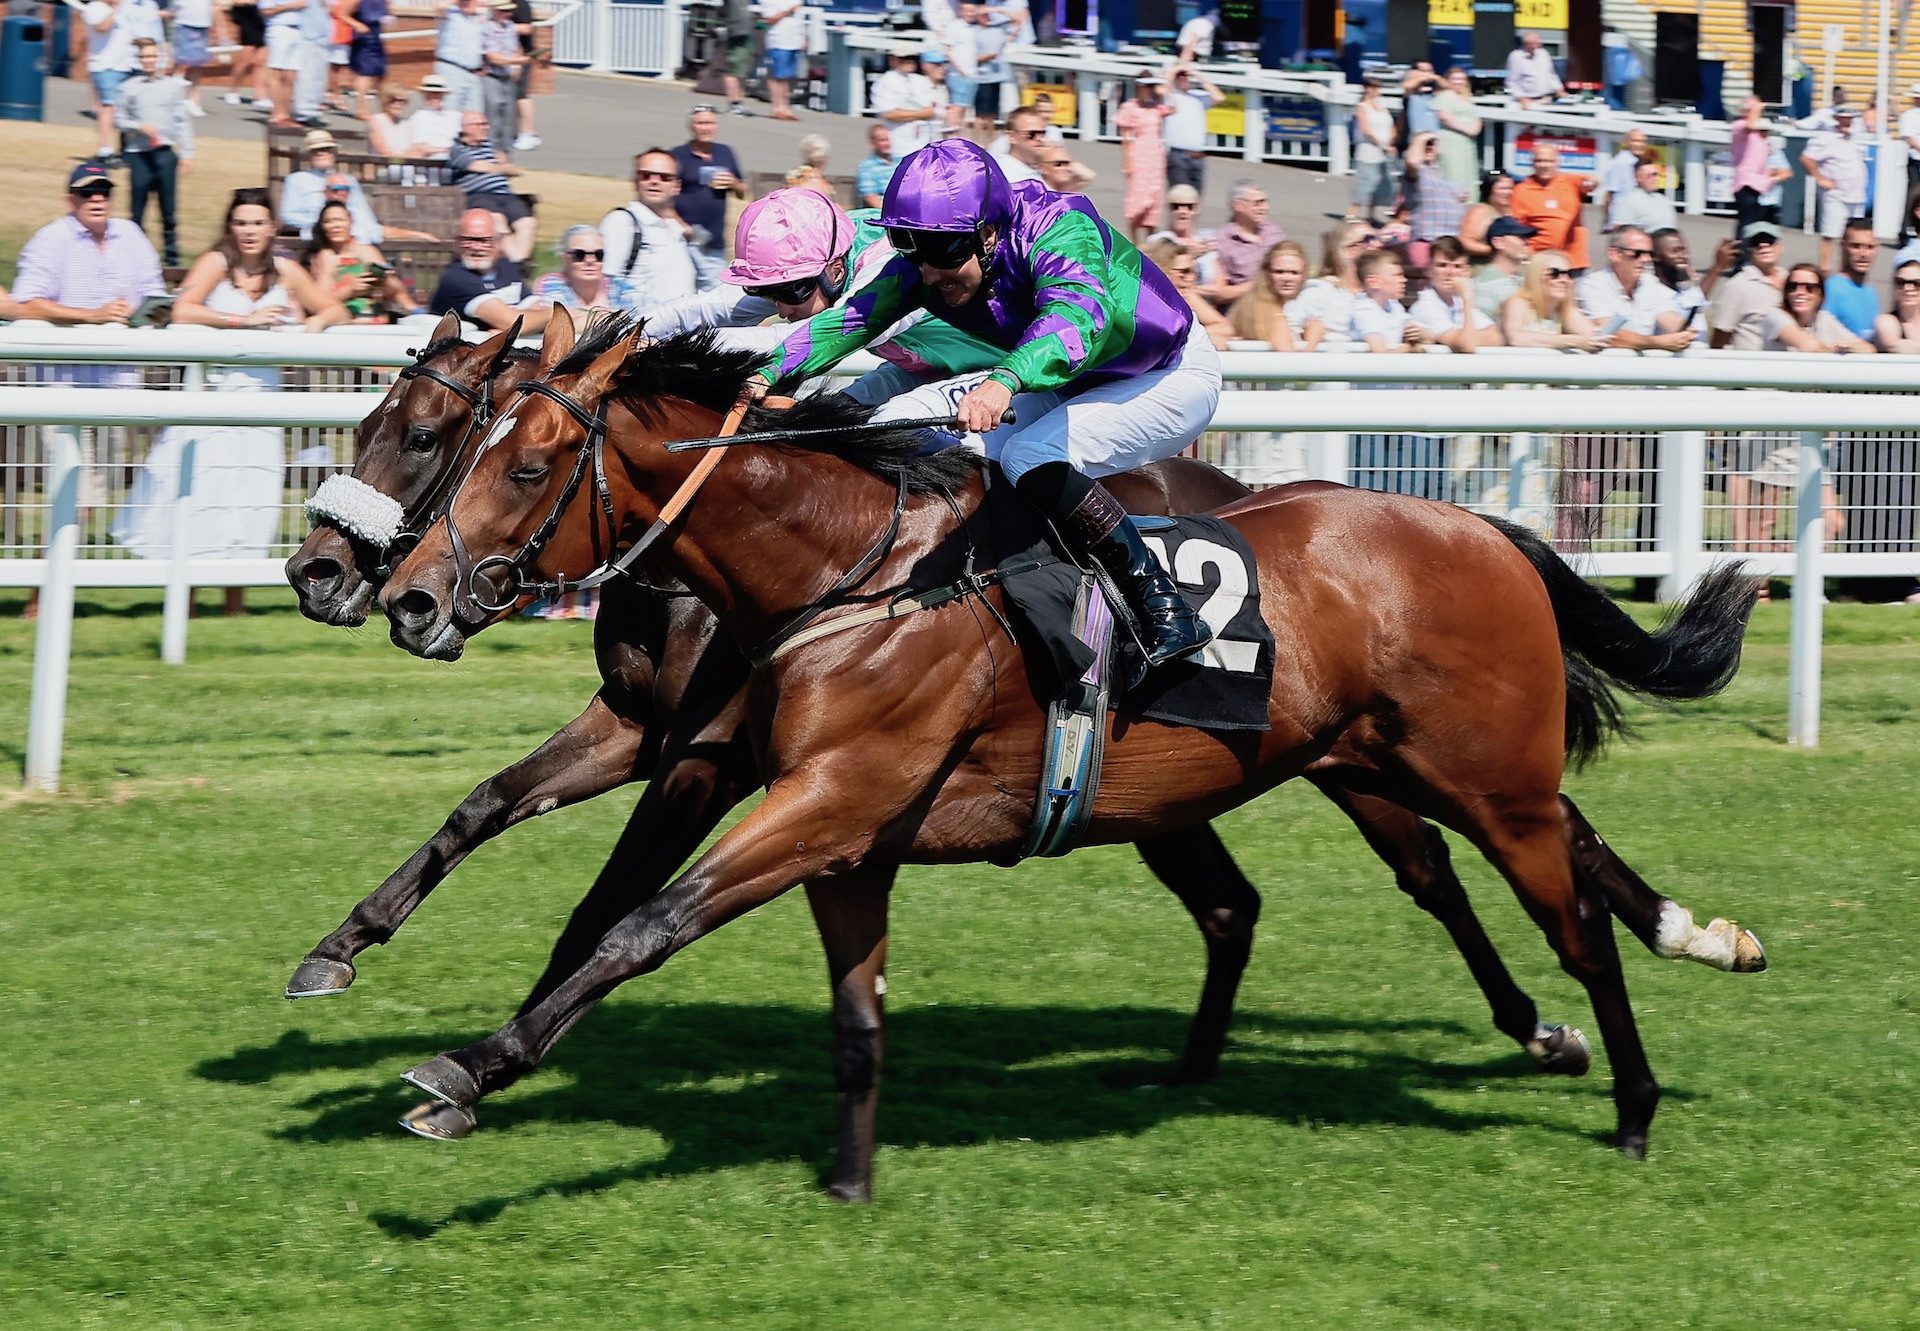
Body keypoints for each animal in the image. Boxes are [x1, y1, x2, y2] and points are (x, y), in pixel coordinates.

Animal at [362, 318, 1766, 1183]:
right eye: (443, 436)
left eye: (521, 460)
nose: (397, 594)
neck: (854, 573)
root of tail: (1486, 530)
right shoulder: (776, 784)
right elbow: (538, 839)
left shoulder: (795, 784)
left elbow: (633, 917)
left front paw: (471, 1067)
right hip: (1379, 765)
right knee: (1415, 876)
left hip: (1475, 777)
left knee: (1557, 916)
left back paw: (1624, 1089)